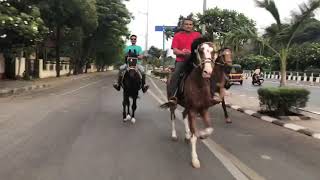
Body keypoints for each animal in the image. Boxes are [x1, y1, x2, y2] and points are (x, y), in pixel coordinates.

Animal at [160, 38, 232, 169]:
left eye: (213, 51)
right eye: (200, 50)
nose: (207, 71)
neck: (199, 84)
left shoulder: (204, 109)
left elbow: (209, 129)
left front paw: (202, 134)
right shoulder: (193, 110)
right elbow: (194, 136)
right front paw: (195, 159)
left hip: (187, 106)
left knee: (183, 114)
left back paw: (187, 135)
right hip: (174, 102)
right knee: (173, 116)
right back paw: (174, 135)